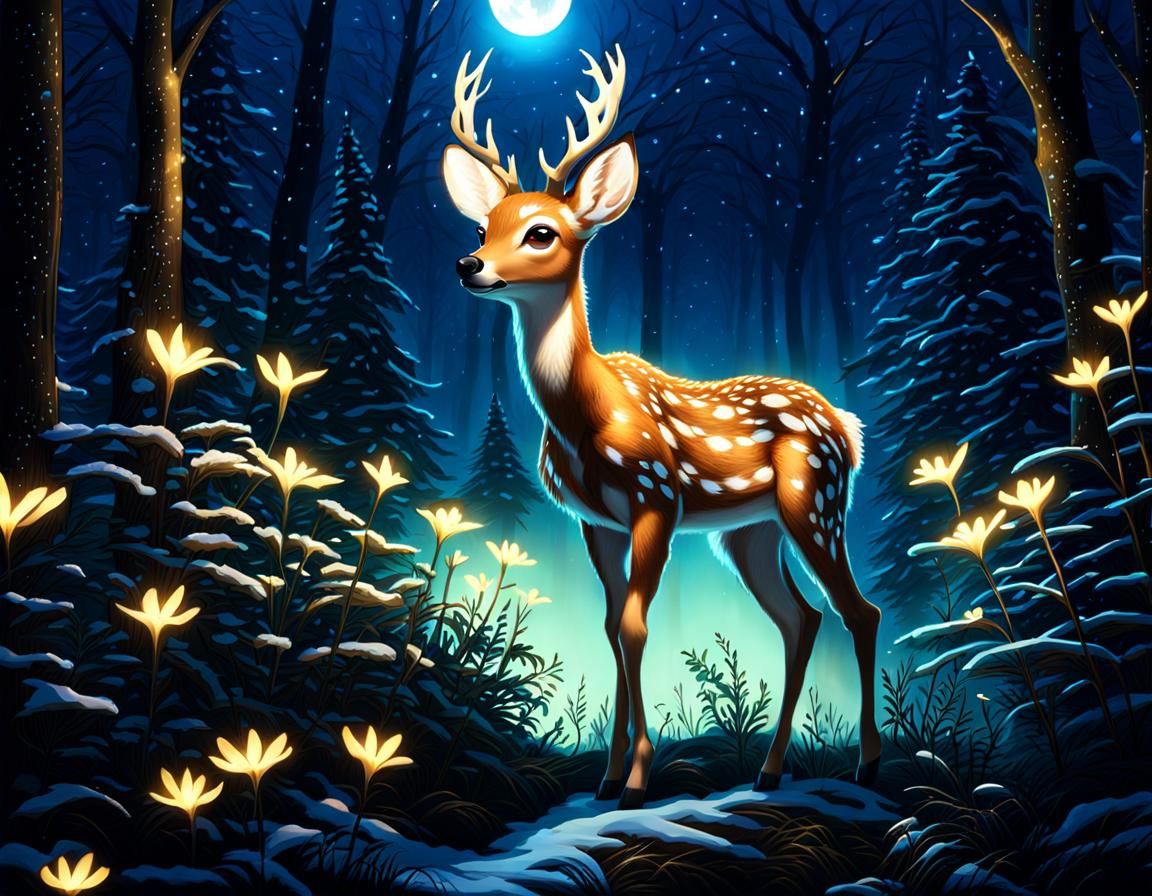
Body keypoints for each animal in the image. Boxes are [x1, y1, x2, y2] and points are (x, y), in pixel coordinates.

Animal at [441, 45, 881, 809]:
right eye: (481, 226)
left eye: (541, 232)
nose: (470, 266)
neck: (585, 417)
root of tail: (847, 427)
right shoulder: (594, 521)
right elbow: (611, 626)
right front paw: (607, 775)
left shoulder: (657, 499)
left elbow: (636, 625)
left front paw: (639, 779)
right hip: (750, 533)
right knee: (802, 618)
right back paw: (769, 770)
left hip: (815, 503)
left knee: (859, 611)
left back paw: (867, 764)